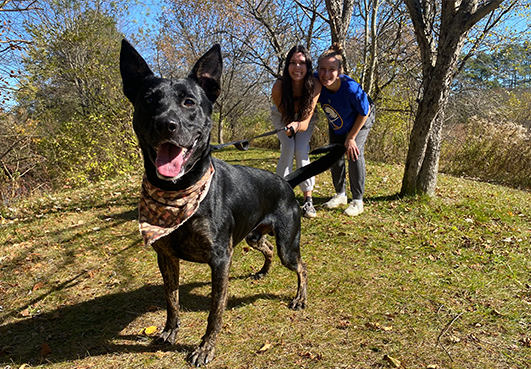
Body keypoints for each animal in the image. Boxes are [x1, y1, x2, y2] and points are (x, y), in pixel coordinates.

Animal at [120, 38, 344, 364]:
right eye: (148, 100)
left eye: (189, 102)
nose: (166, 124)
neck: (180, 189)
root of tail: (284, 182)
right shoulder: (167, 257)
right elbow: (171, 299)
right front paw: (170, 331)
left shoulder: (220, 260)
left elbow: (215, 311)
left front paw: (204, 348)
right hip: (253, 236)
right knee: (267, 251)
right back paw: (263, 272)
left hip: (288, 244)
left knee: (301, 266)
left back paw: (300, 298)